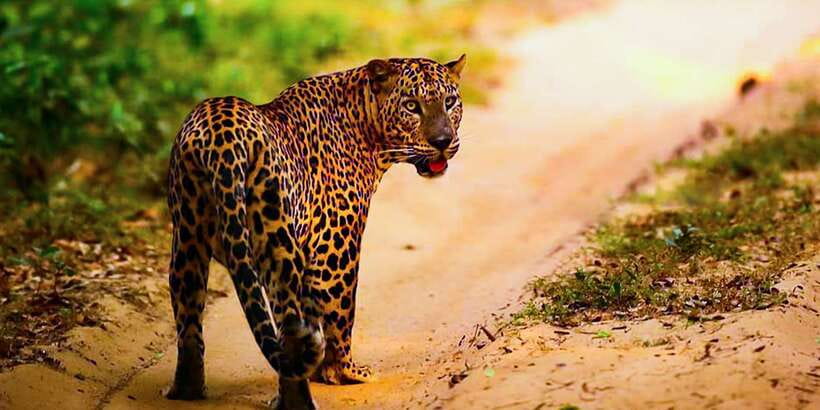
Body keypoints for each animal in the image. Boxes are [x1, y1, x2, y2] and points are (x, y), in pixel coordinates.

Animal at [165, 54, 466, 409]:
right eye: (411, 106)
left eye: (450, 102)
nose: (442, 142)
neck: (366, 126)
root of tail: (223, 135)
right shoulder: (334, 252)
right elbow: (341, 313)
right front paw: (345, 372)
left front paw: (324, 369)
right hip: (277, 245)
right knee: (291, 327)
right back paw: (298, 400)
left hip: (187, 241)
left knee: (188, 322)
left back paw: (187, 390)